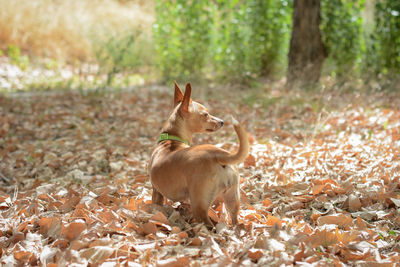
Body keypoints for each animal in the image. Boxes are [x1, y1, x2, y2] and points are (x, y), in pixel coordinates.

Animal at [148, 82, 248, 228]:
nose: (222, 121)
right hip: (232, 199)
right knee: (235, 221)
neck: (171, 139)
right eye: (206, 114)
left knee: (209, 226)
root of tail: (218, 154)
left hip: (199, 206)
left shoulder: (156, 192)